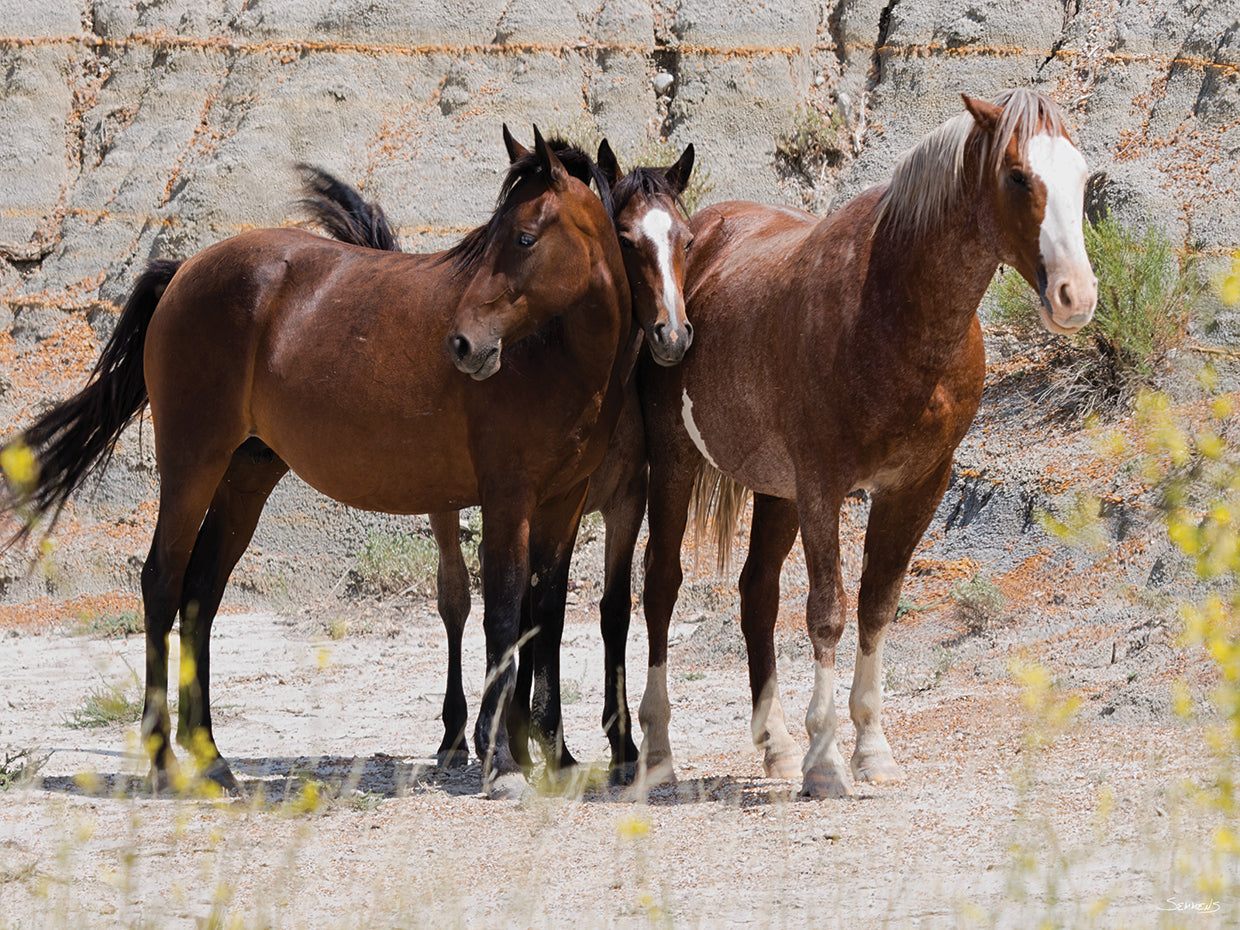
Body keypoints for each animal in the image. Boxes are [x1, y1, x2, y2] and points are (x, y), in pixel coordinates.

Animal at [2, 128, 633, 799]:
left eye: (524, 238)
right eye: (496, 236)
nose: (463, 345)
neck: (554, 355)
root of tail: (184, 271)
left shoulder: (562, 504)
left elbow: (545, 616)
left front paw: (557, 757)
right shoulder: (508, 499)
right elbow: (506, 614)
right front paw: (504, 763)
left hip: (245, 477)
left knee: (201, 594)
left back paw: (212, 757)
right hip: (191, 465)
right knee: (162, 584)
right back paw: (164, 763)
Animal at [634, 89, 1097, 797]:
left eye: (1083, 177)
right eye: (1019, 176)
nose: (1077, 295)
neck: (889, 311)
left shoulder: (916, 487)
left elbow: (878, 606)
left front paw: (871, 750)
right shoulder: (823, 487)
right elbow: (827, 610)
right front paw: (827, 763)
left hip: (777, 493)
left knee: (757, 594)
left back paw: (777, 747)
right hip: (676, 466)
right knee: (661, 587)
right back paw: (658, 753)